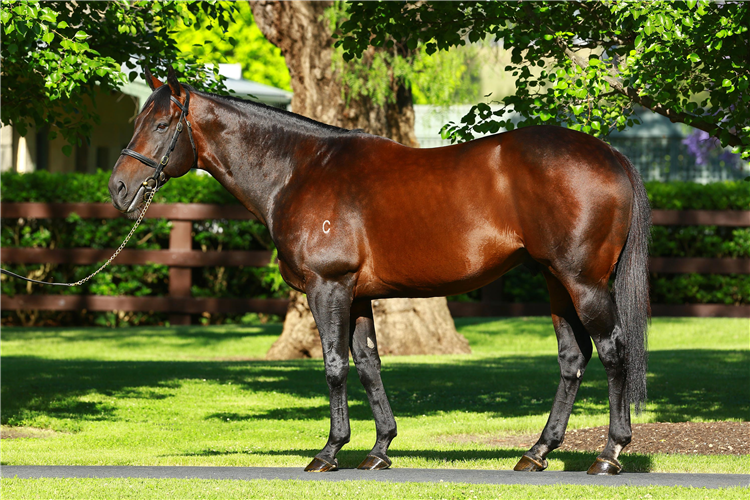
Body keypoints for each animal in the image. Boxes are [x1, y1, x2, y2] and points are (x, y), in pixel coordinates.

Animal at [107, 68, 652, 474]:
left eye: (161, 125)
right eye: (137, 120)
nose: (118, 188)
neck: (300, 171)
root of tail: (610, 154)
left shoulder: (327, 288)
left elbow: (334, 366)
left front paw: (329, 452)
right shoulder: (358, 295)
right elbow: (369, 365)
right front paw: (379, 450)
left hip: (583, 283)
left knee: (613, 352)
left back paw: (609, 454)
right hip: (555, 281)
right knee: (572, 358)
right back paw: (536, 453)